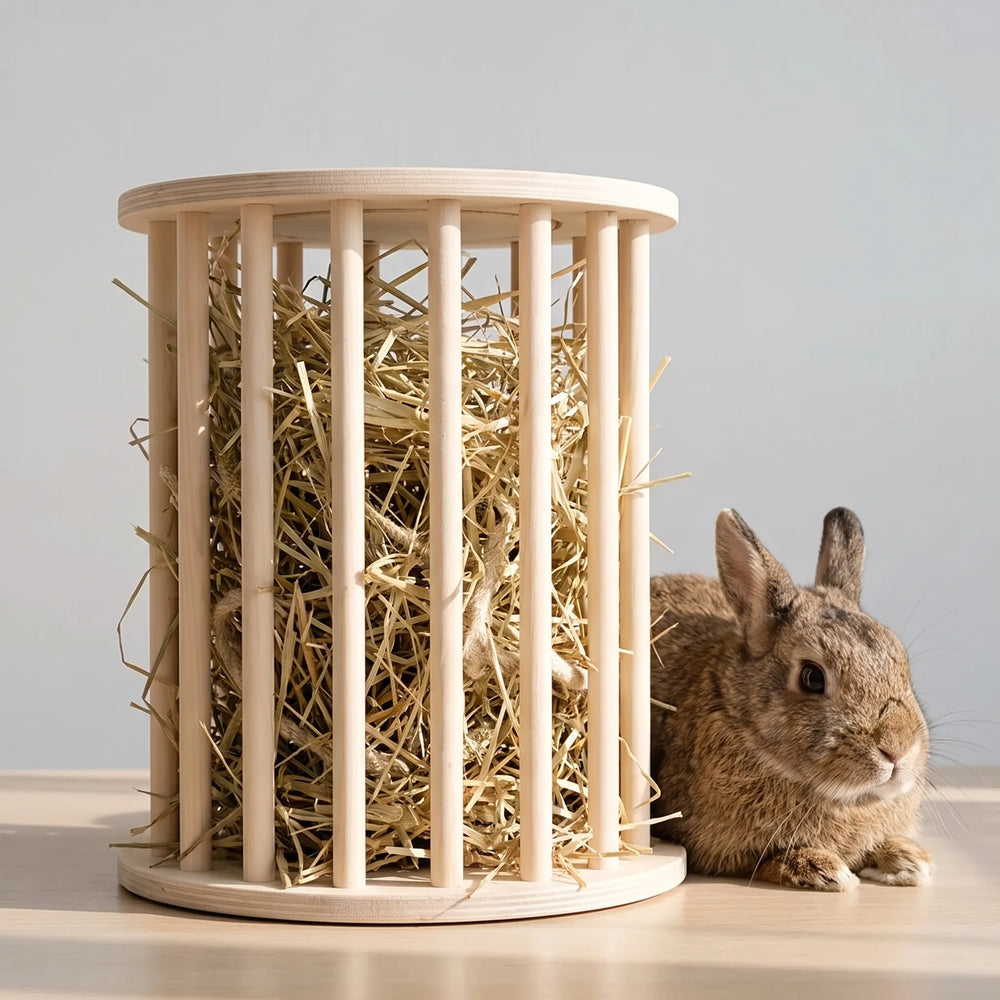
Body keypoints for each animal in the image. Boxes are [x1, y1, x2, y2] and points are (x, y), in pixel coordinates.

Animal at [649, 507, 933, 891]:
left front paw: (908, 859)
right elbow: (763, 860)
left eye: (902, 660)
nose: (898, 750)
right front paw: (821, 869)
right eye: (812, 677)